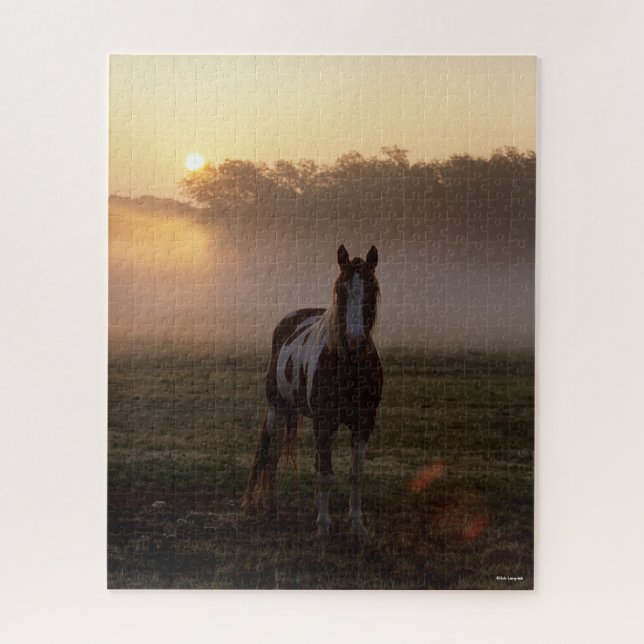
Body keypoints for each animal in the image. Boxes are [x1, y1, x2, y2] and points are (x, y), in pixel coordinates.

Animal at [242, 244, 383, 536]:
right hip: (277, 410)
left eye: (372, 288)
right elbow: (324, 473)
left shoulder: (364, 422)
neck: (348, 367)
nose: (355, 342)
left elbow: (355, 474)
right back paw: (272, 509)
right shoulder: (324, 421)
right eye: (340, 290)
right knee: (270, 457)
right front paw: (323, 525)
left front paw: (356, 523)